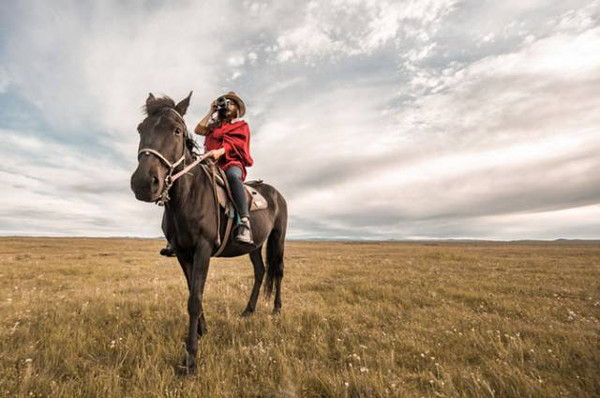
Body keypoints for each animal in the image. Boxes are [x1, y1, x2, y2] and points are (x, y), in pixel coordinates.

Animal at [131, 92, 288, 374]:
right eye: (141, 129)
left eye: (177, 130)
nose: (144, 183)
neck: (187, 196)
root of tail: (275, 193)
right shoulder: (183, 253)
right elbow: (192, 291)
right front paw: (201, 331)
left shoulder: (203, 248)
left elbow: (194, 299)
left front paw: (190, 358)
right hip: (255, 245)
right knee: (260, 271)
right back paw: (248, 311)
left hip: (278, 238)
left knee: (277, 271)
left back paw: (277, 310)